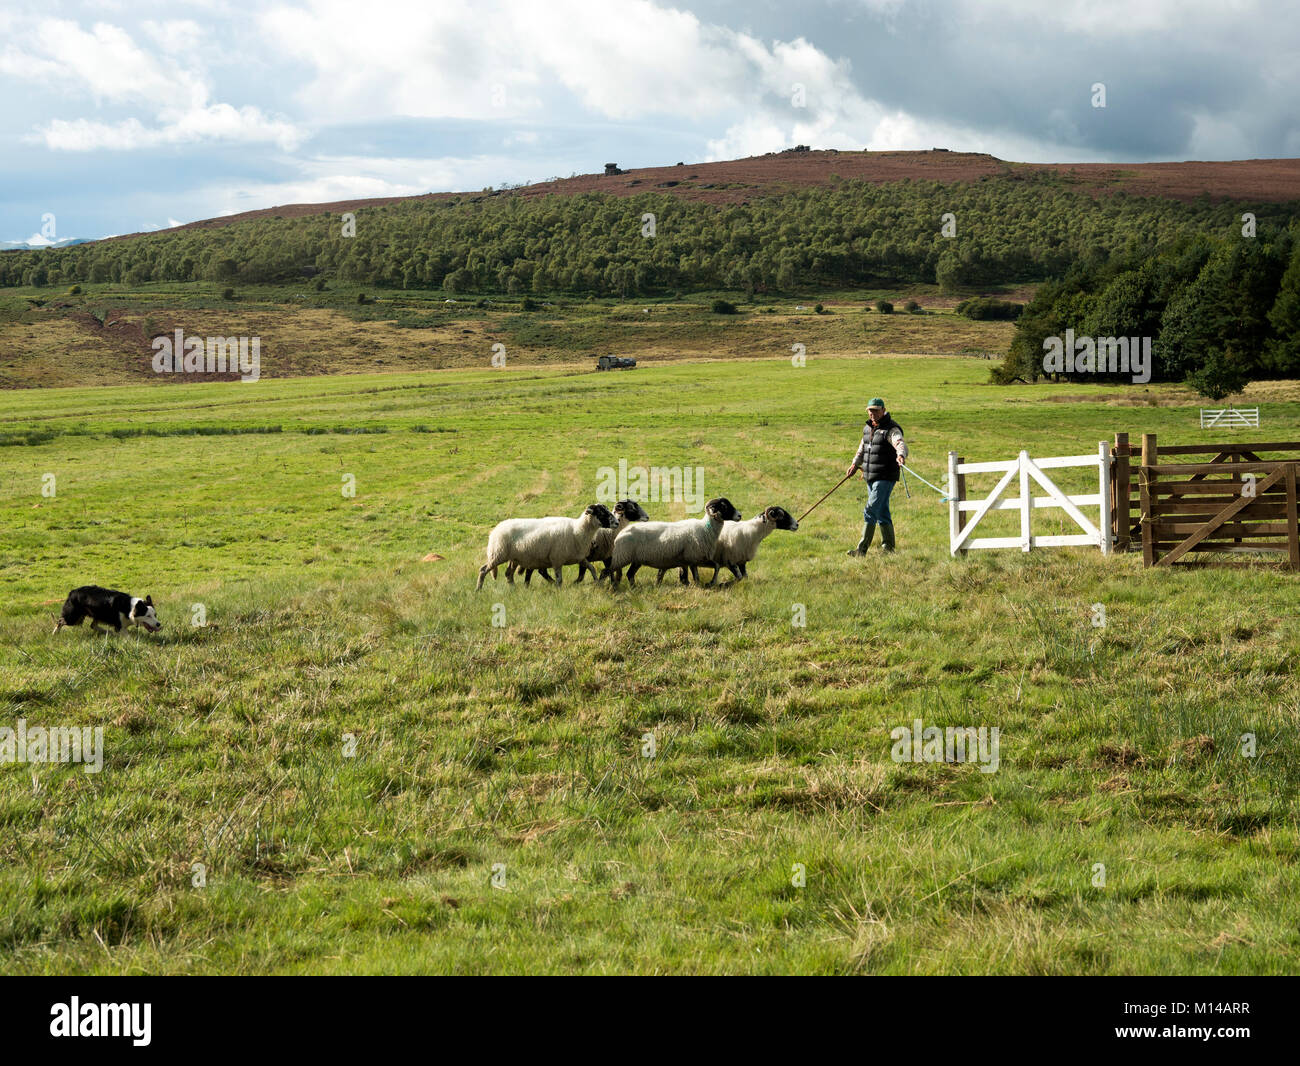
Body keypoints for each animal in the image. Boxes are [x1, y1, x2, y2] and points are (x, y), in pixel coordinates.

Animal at [476, 504, 614, 590]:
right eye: (601, 512)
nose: (617, 523)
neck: (578, 530)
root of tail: (495, 530)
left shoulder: (580, 558)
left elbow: (592, 568)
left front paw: (597, 582)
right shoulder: (557, 559)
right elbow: (559, 579)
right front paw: (558, 590)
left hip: (513, 558)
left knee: (508, 573)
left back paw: (513, 589)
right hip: (498, 554)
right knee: (483, 570)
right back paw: (478, 589)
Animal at [607, 497, 741, 588]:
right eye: (723, 506)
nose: (740, 515)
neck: (705, 529)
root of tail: (622, 532)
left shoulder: (695, 559)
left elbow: (715, 566)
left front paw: (709, 583)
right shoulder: (692, 558)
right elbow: (696, 576)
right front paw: (706, 584)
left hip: (636, 559)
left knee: (630, 574)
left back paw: (634, 588)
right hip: (622, 557)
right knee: (613, 572)